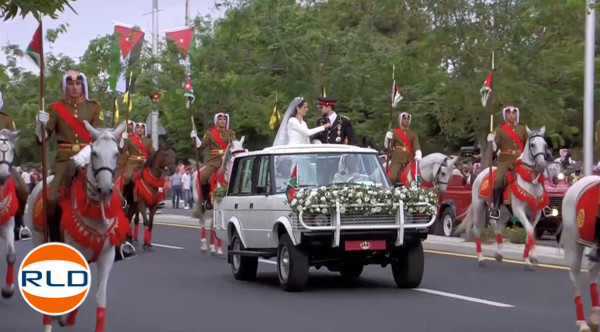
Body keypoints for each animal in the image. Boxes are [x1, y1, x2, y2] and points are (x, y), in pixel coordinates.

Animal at [454, 126, 548, 268]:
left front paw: (530, 258)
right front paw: (531, 258)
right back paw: (481, 258)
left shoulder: (535, 213)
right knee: (477, 229)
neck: (529, 182)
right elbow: (530, 230)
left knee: (495, 225)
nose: (542, 165)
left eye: (544, 144)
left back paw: (499, 253)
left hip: (503, 212)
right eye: (532, 144)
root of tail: (480, 173)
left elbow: (530, 232)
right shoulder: (519, 210)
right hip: (479, 207)